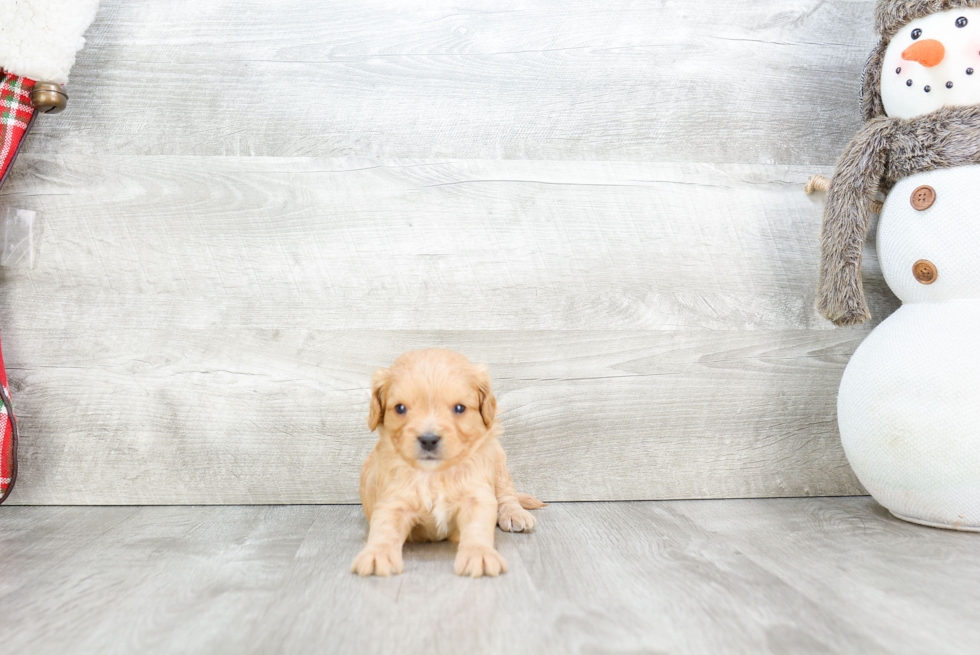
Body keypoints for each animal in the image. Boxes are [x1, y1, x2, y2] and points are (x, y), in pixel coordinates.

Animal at [352, 348, 544, 580]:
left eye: (459, 408)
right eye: (400, 408)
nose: (428, 440)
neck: (435, 473)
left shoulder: (476, 495)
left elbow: (478, 526)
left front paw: (479, 554)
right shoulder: (393, 499)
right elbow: (384, 527)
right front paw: (376, 554)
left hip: (497, 458)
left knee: (506, 492)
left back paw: (515, 514)